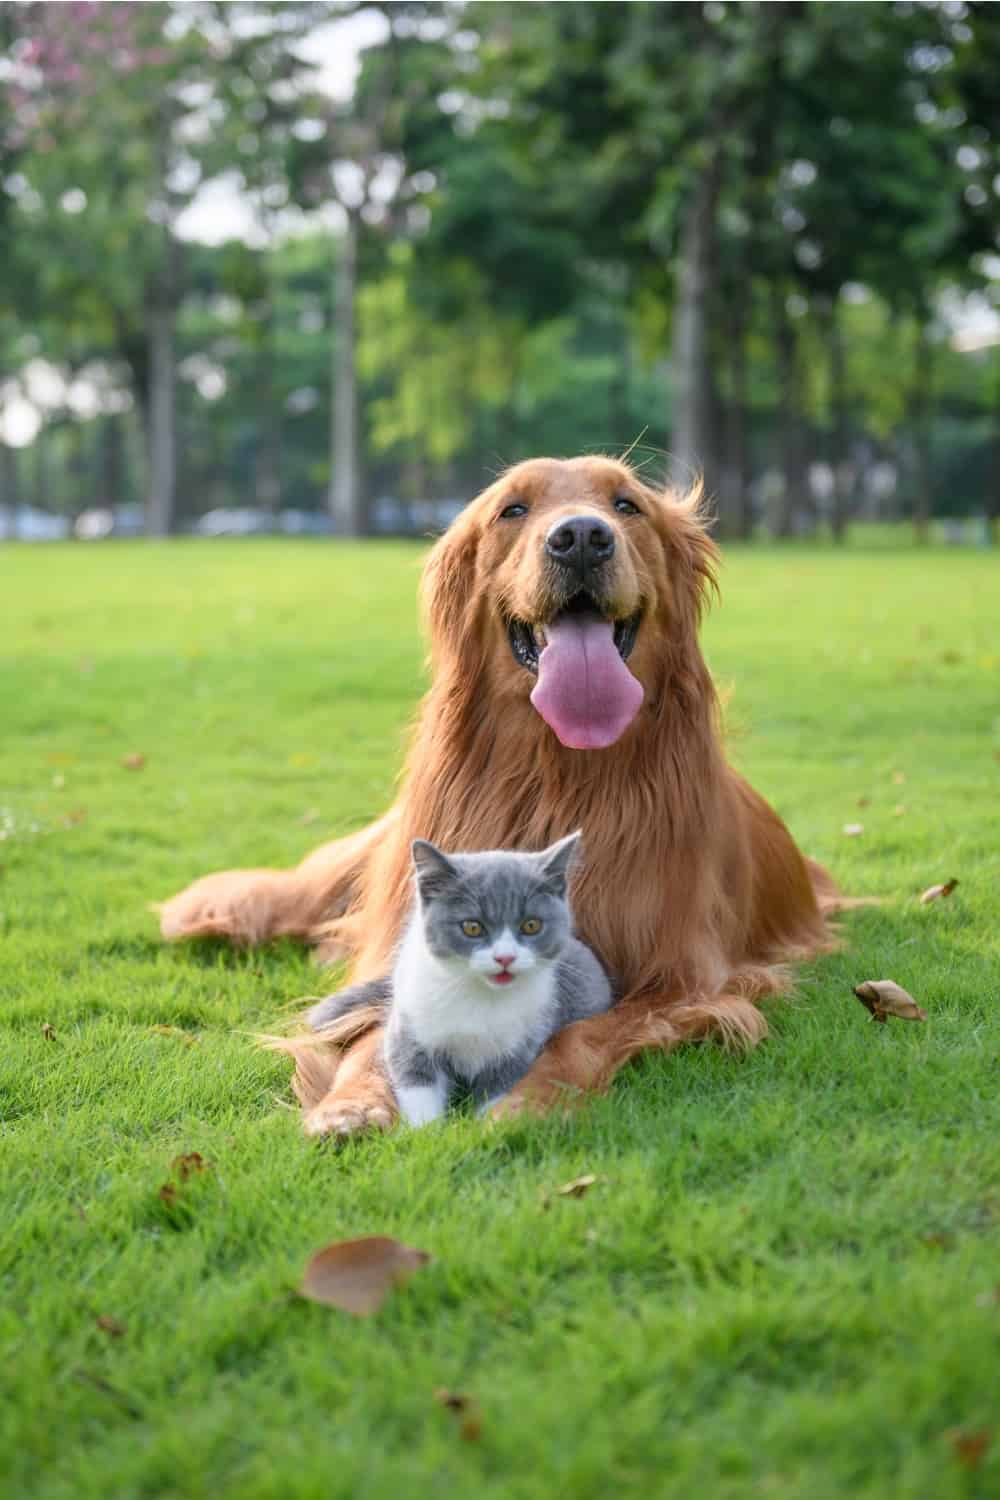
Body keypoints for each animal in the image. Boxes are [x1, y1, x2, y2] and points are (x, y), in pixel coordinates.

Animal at [308, 834, 614, 1128]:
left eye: (531, 925)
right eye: (472, 927)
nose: (505, 957)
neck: (480, 996)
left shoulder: (523, 1043)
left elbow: (499, 1088)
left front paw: (489, 1126)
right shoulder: (410, 1028)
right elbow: (416, 1080)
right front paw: (425, 1132)